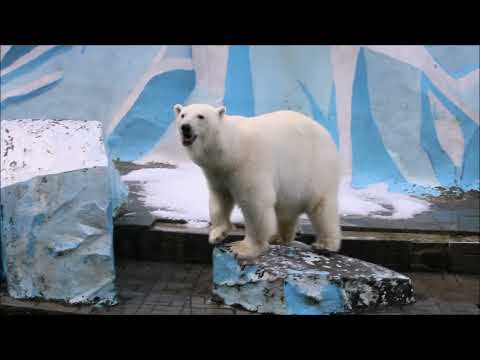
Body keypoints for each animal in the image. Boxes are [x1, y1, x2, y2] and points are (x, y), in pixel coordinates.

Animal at [174, 102, 340, 258]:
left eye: (200, 116)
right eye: (182, 115)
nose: (185, 127)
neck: (230, 150)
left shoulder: (248, 165)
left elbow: (255, 203)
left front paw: (245, 248)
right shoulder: (217, 173)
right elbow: (220, 198)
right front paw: (217, 234)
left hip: (315, 168)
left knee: (321, 206)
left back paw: (325, 244)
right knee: (285, 210)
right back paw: (279, 237)